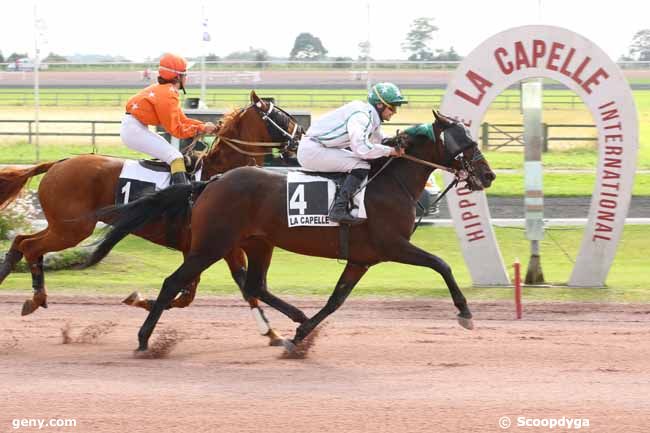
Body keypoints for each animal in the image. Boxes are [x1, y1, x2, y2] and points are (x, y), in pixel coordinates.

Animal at [0, 91, 302, 344]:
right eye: (284, 117)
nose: (300, 139)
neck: (218, 174)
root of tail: (58, 163)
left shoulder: (217, 246)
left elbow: (226, 288)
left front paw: (273, 332)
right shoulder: (213, 245)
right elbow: (214, 288)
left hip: (62, 226)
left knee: (20, 241)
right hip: (72, 230)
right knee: (30, 246)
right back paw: (36, 297)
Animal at [85, 110, 492, 352]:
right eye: (462, 140)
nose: (487, 175)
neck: (390, 183)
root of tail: (211, 182)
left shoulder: (361, 259)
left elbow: (336, 300)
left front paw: (301, 334)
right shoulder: (393, 245)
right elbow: (442, 265)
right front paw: (465, 313)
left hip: (256, 244)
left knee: (253, 285)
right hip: (211, 245)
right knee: (174, 282)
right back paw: (143, 339)